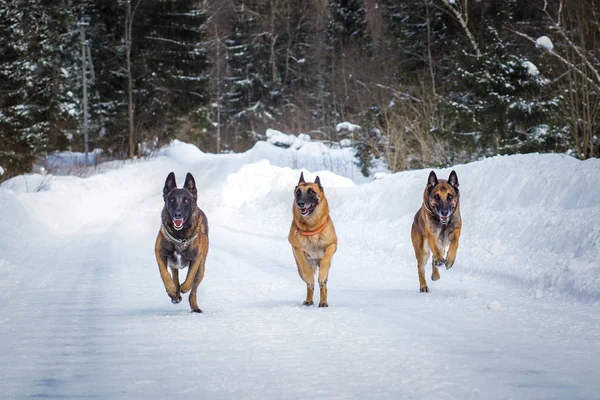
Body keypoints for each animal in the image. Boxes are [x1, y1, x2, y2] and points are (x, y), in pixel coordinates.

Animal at [155, 172, 209, 312]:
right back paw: (175, 294)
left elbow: (190, 278)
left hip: (201, 269)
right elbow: (164, 274)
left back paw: (194, 306)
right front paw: (172, 290)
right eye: (172, 200)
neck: (180, 237)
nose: (177, 214)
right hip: (173, 264)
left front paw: (183, 287)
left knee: (194, 289)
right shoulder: (159, 253)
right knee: (174, 276)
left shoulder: (196, 259)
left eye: (186, 200)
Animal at [288, 171, 338, 306]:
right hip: (300, 270)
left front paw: (321, 277)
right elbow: (305, 268)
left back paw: (323, 301)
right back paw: (309, 299)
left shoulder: (332, 245)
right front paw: (311, 278)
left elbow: (325, 260)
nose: (300, 203)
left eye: (311, 192)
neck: (311, 227)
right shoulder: (297, 249)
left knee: (323, 286)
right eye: (298, 192)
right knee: (309, 285)